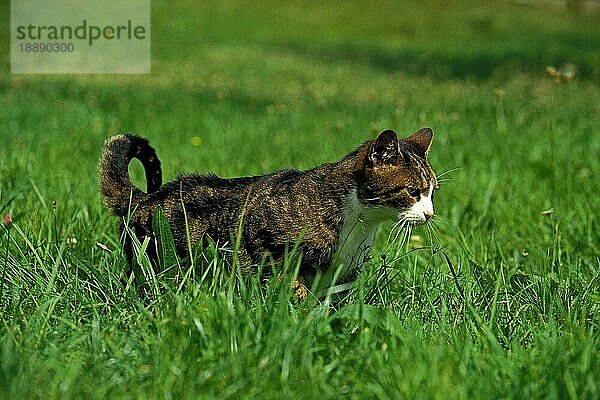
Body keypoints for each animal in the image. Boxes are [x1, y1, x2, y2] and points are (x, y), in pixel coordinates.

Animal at [98, 127, 436, 296]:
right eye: (413, 191)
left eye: (432, 191)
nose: (430, 214)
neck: (359, 223)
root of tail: (145, 198)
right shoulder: (266, 243)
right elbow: (294, 288)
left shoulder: (345, 273)